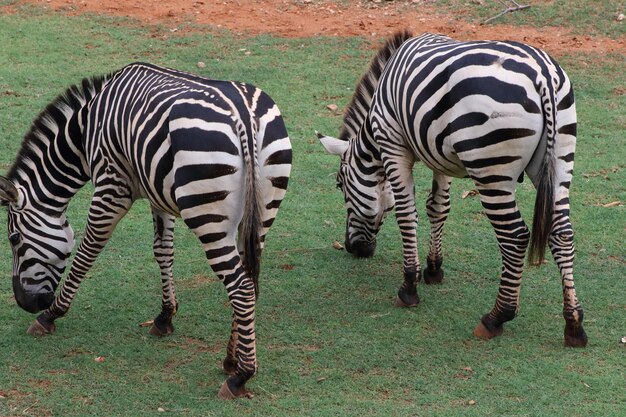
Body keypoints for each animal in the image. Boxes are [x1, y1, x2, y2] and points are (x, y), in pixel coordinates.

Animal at [0, 61, 292, 396]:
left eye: (14, 239)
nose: (24, 303)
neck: (85, 128)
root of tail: (245, 116)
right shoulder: (158, 192)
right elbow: (163, 251)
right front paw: (165, 317)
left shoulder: (111, 184)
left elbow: (88, 250)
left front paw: (51, 315)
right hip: (263, 208)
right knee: (249, 279)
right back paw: (231, 358)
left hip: (207, 214)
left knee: (241, 287)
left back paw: (241, 375)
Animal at [316, 30, 584, 346]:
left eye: (340, 185)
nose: (352, 248)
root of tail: (542, 74)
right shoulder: (438, 154)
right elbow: (438, 208)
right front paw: (433, 269)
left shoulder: (393, 146)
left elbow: (406, 215)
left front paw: (409, 286)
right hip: (559, 158)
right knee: (562, 233)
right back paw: (574, 324)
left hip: (490, 166)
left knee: (515, 236)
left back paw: (496, 317)